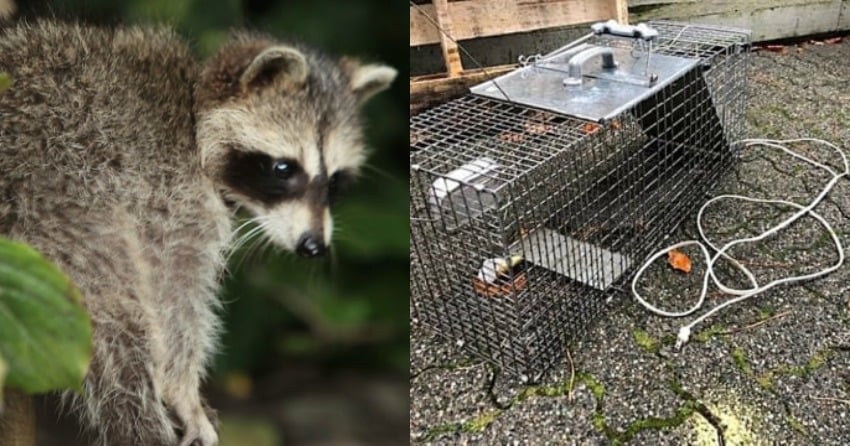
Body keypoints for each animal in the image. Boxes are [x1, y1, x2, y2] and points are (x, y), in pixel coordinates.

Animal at [0, 20, 396, 446]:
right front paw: (183, 390)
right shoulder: (165, 191)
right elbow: (175, 288)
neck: (193, 113)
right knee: (113, 315)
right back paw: (139, 421)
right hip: (57, 204)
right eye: (283, 169)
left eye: (335, 181)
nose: (313, 246)